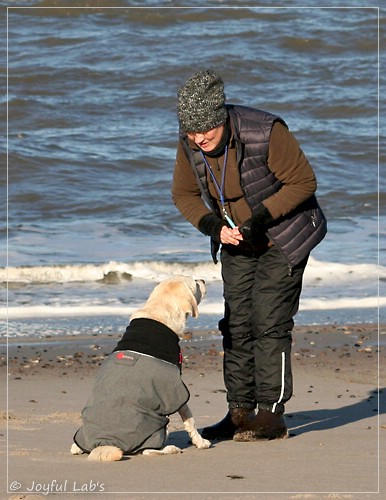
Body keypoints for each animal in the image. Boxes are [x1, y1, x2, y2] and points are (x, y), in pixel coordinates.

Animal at [70, 278, 210, 460]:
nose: (203, 280)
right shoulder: (176, 389)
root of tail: (105, 442)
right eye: (195, 282)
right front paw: (200, 442)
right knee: (147, 451)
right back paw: (170, 448)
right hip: (159, 422)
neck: (158, 315)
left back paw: (76, 447)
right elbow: (190, 419)